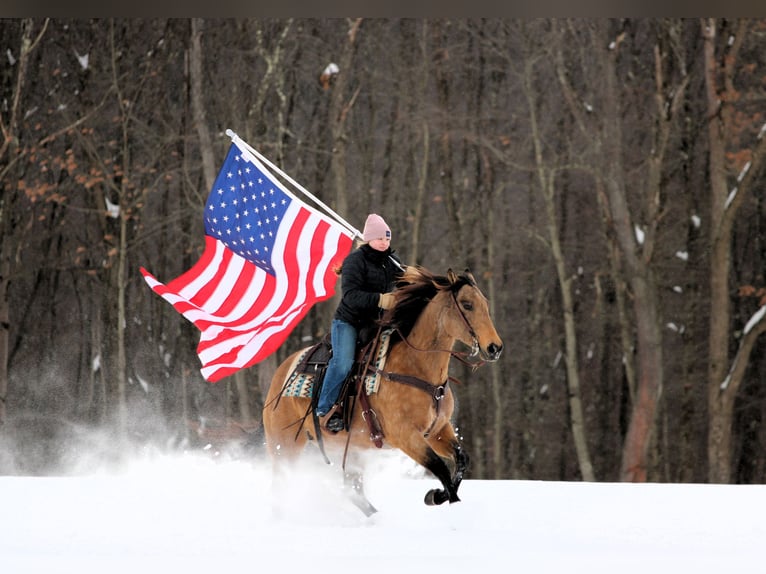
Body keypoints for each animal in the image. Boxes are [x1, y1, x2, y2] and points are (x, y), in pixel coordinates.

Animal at [262, 266, 503, 514]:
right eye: (467, 304)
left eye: (485, 303)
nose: (494, 347)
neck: (415, 368)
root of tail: (281, 374)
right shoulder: (405, 435)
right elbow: (439, 468)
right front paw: (440, 497)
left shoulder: (438, 430)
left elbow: (461, 460)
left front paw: (437, 496)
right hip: (285, 445)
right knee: (281, 484)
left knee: (352, 488)